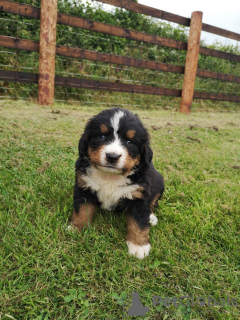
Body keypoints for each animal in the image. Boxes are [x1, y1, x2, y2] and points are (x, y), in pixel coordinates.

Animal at [70, 109, 164, 258]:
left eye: (130, 142)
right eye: (101, 136)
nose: (112, 156)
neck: (110, 177)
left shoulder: (139, 196)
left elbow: (139, 223)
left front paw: (139, 246)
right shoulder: (84, 187)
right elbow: (81, 211)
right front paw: (75, 228)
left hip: (159, 183)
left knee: (153, 202)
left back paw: (152, 217)